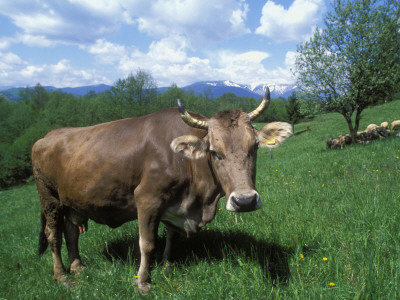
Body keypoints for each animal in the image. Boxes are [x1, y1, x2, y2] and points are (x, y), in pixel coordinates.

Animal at [31, 86, 292, 292]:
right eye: (214, 152)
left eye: (254, 147)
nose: (245, 201)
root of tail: (49, 135)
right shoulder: (147, 199)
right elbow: (147, 243)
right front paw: (143, 282)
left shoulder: (174, 203)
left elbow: (171, 234)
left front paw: (167, 264)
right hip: (49, 197)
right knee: (54, 235)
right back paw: (62, 276)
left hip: (72, 201)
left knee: (71, 231)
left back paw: (78, 267)